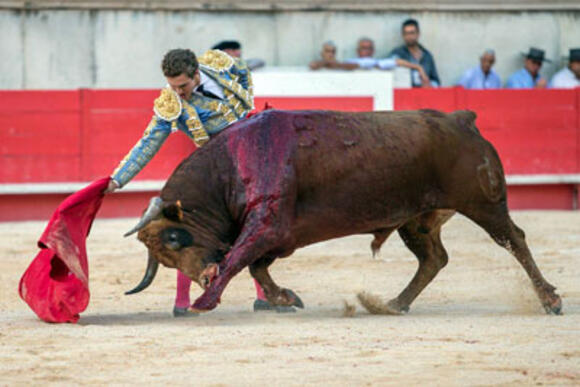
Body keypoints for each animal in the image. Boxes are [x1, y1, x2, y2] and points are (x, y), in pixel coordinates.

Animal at [122, 109, 560, 316]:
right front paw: (285, 298)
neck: (228, 168)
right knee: (434, 258)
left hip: (482, 202)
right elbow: (255, 266)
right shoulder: (276, 234)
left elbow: (238, 260)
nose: (200, 277)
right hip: (417, 220)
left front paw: (205, 301)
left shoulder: (268, 224)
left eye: (175, 237)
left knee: (514, 240)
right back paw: (393, 304)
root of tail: (461, 120)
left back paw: (550, 300)